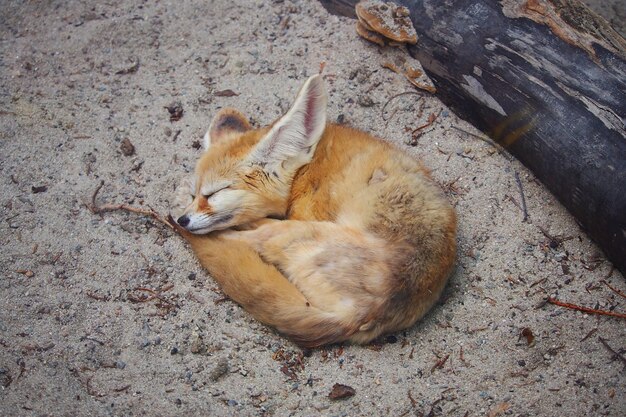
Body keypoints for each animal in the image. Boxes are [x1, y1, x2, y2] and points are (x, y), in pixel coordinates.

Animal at [171, 75, 454, 348]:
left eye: (214, 193)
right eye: (196, 194)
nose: (182, 220)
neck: (303, 173)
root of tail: (361, 316)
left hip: (296, 231)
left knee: (243, 239)